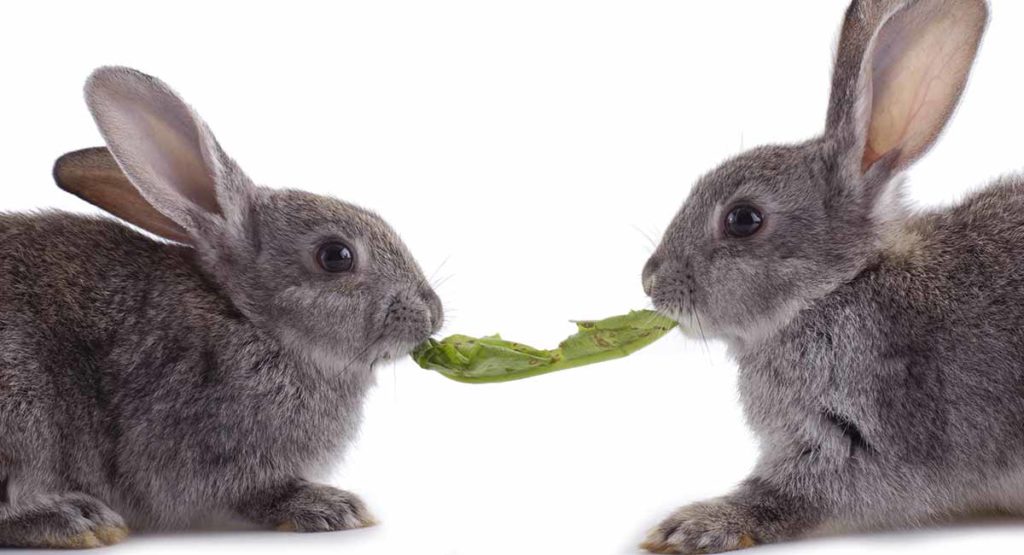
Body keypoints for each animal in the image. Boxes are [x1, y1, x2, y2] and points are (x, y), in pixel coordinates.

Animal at [0, 66, 443, 548]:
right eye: (336, 256)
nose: (432, 315)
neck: (246, 316)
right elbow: (251, 493)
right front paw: (330, 506)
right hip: (23, 404)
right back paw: (74, 520)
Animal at [638, 0, 1017, 553]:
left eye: (743, 219)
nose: (650, 282)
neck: (839, 287)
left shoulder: (857, 439)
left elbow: (788, 496)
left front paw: (693, 525)